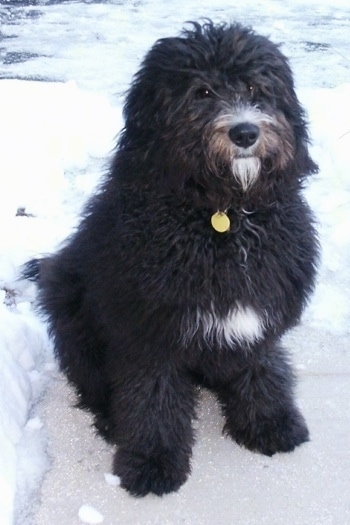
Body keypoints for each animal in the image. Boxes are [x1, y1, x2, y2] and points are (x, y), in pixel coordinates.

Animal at [26, 20, 318, 496]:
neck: (222, 217)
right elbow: (152, 397)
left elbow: (260, 367)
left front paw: (269, 422)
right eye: (202, 92)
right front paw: (152, 461)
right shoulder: (148, 327)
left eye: (256, 88)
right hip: (65, 295)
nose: (245, 133)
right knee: (92, 381)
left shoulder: (257, 310)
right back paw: (111, 420)